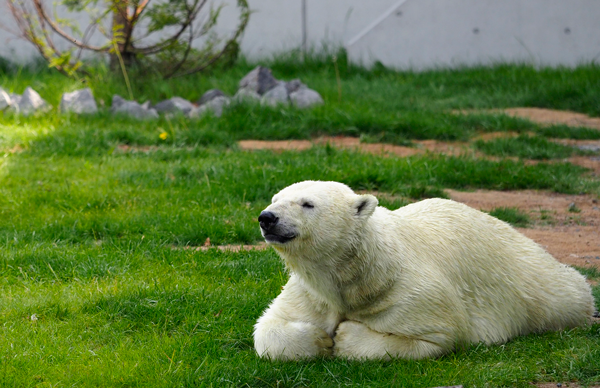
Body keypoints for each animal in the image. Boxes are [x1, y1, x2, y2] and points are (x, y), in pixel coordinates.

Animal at [254, 181, 596, 360]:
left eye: (307, 203)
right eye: (276, 198)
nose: (267, 217)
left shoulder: (410, 292)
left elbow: (430, 336)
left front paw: (343, 336)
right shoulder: (312, 293)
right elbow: (270, 326)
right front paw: (318, 338)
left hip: (530, 279)